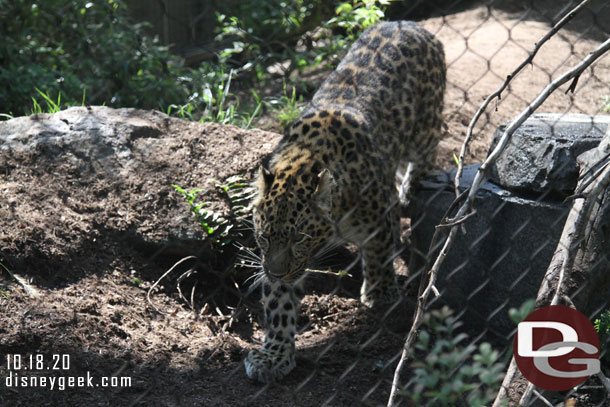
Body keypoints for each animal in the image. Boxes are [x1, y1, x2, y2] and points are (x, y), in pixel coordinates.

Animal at [243, 19, 446, 382]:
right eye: (264, 237)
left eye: (299, 238)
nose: (276, 273)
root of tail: (409, 24)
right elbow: (280, 307)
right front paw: (274, 356)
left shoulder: (375, 218)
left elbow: (379, 252)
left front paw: (380, 294)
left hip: (424, 128)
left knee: (424, 154)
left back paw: (411, 191)